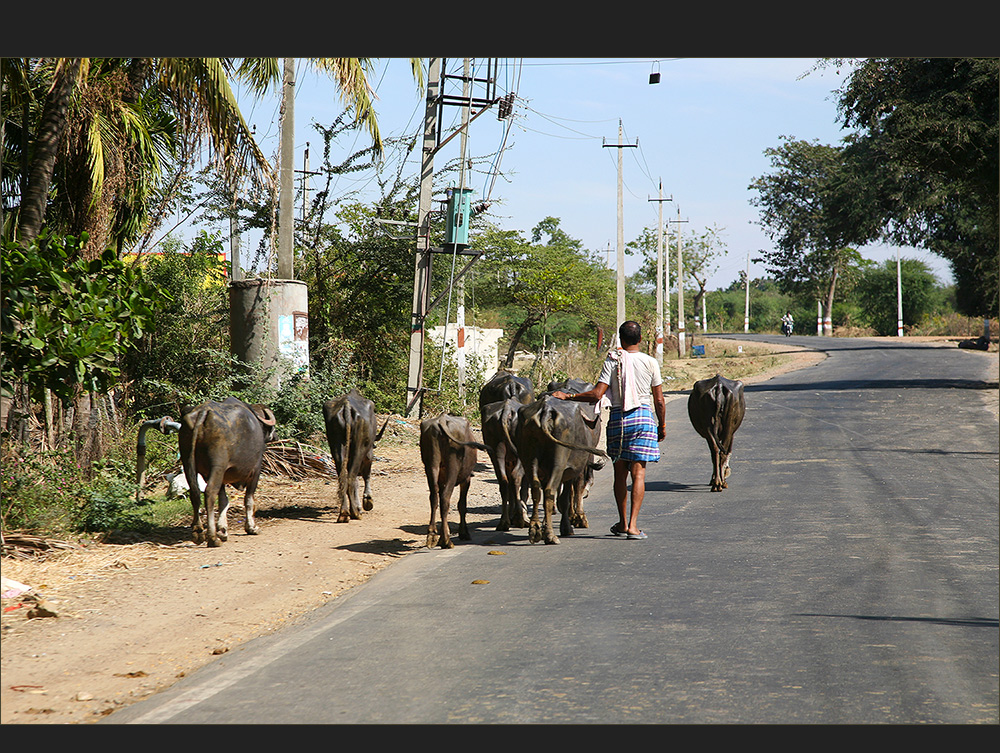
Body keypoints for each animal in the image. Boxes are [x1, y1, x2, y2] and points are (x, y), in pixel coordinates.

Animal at [178, 400, 276, 548]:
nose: (275, 436)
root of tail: (203, 412)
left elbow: (224, 500)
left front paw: (223, 530)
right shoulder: (256, 470)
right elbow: (249, 499)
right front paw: (251, 527)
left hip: (188, 463)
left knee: (195, 493)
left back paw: (198, 533)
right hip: (218, 466)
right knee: (210, 493)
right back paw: (212, 538)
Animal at [324, 388, 378, 524]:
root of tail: (346, 405)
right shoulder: (369, 453)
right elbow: (366, 475)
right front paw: (368, 501)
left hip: (336, 445)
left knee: (343, 478)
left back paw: (344, 514)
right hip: (359, 448)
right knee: (351, 477)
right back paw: (355, 513)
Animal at [418, 414, 488, 548]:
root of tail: (440, 420)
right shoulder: (466, 479)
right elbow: (462, 505)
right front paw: (464, 533)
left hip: (431, 465)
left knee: (434, 497)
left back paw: (432, 535)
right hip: (453, 468)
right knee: (445, 498)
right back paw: (446, 541)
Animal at [516, 394, 608, 548]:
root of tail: (546, 410)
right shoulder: (573, 472)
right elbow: (568, 497)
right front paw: (571, 524)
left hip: (529, 460)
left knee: (536, 490)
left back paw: (535, 530)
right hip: (559, 463)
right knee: (550, 491)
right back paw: (550, 535)